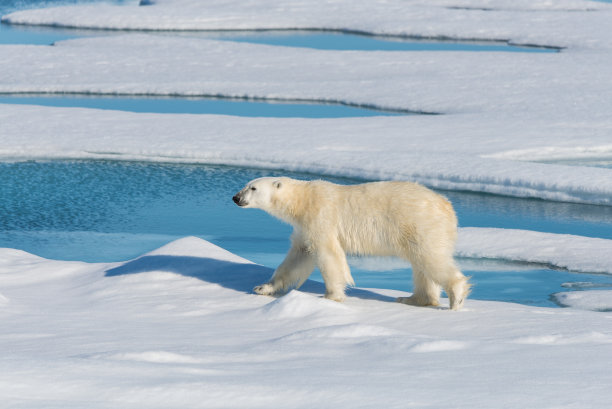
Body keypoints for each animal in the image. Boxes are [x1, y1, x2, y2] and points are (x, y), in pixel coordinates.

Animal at [232, 176, 470, 310]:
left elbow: (328, 254)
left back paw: (456, 297)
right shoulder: (303, 228)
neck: (302, 200)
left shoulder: (320, 216)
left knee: (430, 258)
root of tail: (447, 206)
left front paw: (330, 296)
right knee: (421, 266)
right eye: (245, 185)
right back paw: (413, 299)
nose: (235, 197)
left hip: (420, 224)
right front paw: (263, 287)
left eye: (252, 188)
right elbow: (297, 257)